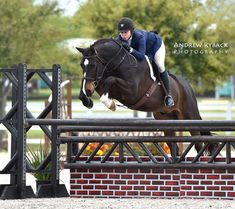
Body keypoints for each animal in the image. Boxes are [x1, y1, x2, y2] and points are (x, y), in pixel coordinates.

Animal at [76, 37, 218, 156]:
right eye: (82, 65)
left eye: (93, 65)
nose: (88, 90)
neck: (119, 63)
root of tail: (187, 86)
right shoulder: (103, 80)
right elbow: (103, 83)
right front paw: (87, 99)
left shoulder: (132, 92)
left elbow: (110, 80)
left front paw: (110, 104)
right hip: (167, 121)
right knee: (174, 147)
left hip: (189, 117)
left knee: (198, 144)